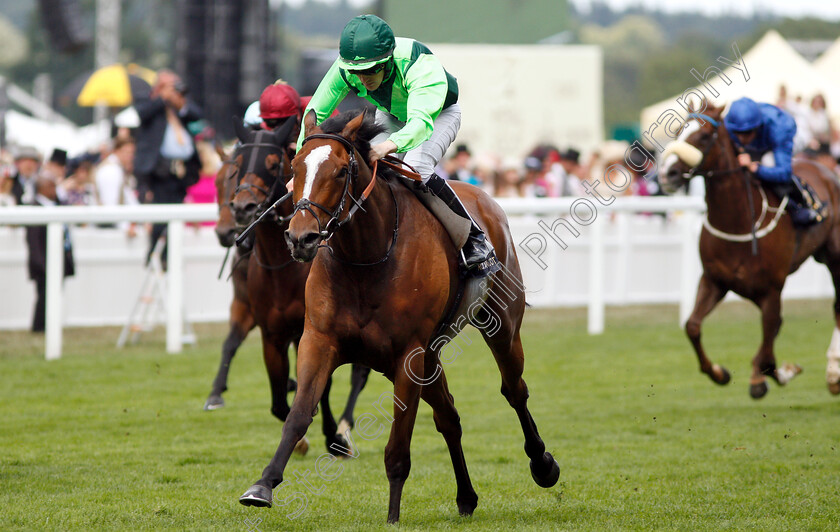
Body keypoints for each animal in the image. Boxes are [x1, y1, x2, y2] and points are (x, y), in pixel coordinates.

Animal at [215, 122, 370, 450]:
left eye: (274, 164)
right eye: (238, 166)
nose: (243, 207)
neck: (282, 267)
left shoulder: (310, 332)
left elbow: (321, 388)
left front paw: (330, 433)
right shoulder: (270, 333)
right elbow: (277, 400)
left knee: (360, 374)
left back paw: (344, 428)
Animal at [236, 110, 560, 520]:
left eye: (341, 171)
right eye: (294, 167)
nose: (301, 238)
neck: (366, 258)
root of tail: (487, 199)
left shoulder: (409, 355)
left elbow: (398, 446)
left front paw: (392, 517)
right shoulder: (318, 340)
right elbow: (297, 414)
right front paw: (262, 485)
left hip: (500, 325)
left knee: (514, 390)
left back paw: (543, 465)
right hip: (432, 355)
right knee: (449, 418)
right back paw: (466, 497)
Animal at [660, 105, 840, 400]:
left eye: (704, 136)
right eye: (677, 131)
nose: (667, 173)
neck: (738, 219)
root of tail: (824, 168)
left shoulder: (771, 289)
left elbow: (768, 344)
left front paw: (768, 377)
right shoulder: (715, 280)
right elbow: (692, 326)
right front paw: (720, 373)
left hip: (834, 257)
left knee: (837, 306)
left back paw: (833, 374)